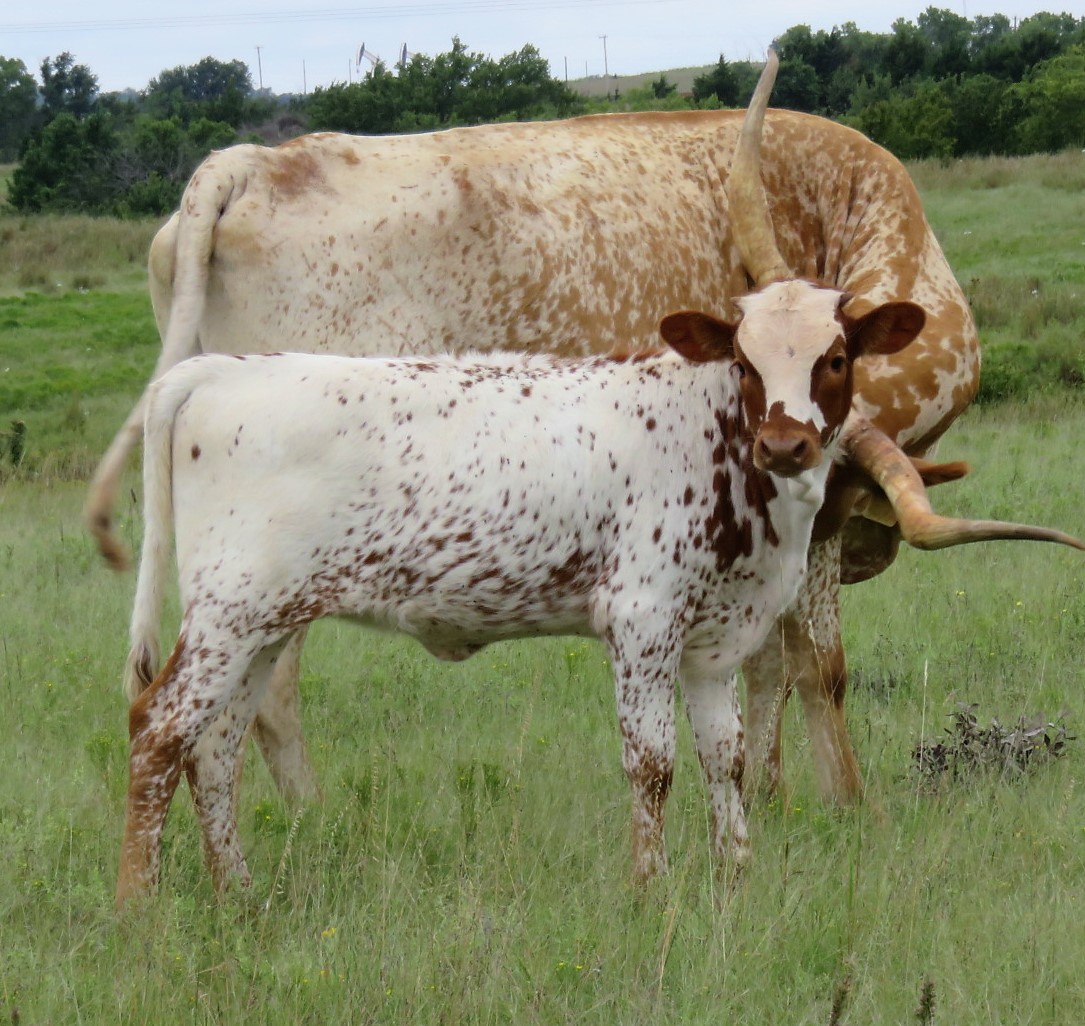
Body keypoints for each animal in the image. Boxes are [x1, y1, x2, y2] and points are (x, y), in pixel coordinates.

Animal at [88, 53, 1080, 812]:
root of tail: (251, 162)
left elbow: (764, 665)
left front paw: (771, 797)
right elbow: (817, 665)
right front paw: (845, 805)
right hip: (292, 554)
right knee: (264, 698)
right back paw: (311, 824)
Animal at [113, 284, 929, 904]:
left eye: (835, 358)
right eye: (744, 360)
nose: (785, 444)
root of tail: (219, 371)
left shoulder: (714, 640)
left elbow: (723, 758)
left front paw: (735, 876)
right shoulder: (642, 618)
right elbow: (652, 763)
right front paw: (651, 889)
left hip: (268, 623)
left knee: (214, 747)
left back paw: (237, 893)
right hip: (230, 614)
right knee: (159, 728)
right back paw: (138, 909)